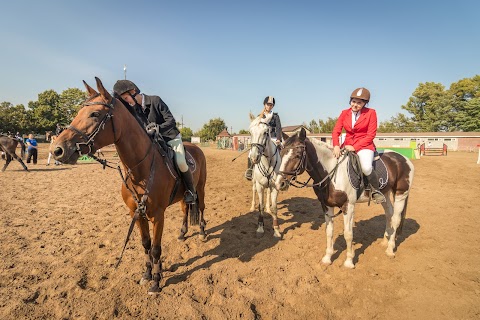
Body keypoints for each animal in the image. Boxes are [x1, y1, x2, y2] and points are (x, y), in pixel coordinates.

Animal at [51, 78, 207, 296]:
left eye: (95, 114)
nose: (57, 149)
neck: (140, 169)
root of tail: (195, 148)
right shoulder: (137, 213)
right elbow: (146, 245)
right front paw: (147, 274)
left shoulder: (158, 215)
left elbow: (156, 248)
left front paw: (156, 282)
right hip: (184, 195)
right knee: (186, 209)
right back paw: (183, 233)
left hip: (200, 188)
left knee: (200, 207)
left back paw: (201, 232)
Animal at [280, 129, 414, 268]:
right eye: (281, 153)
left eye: (297, 155)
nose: (280, 183)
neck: (331, 174)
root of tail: (403, 158)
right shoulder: (326, 206)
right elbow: (329, 232)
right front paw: (327, 258)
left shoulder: (348, 206)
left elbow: (348, 234)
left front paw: (349, 261)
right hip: (385, 195)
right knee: (389, 214)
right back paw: (385, 241)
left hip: (401, 194)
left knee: (396, 219)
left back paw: (390, 249)